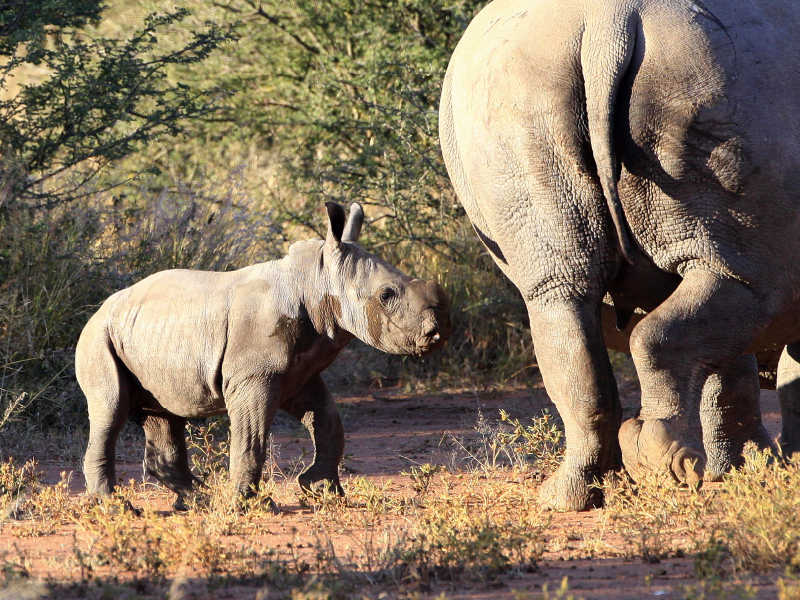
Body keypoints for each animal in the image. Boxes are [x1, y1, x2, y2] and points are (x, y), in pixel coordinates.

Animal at [76, 203, 450, 510]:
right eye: (386, 295)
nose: (435, 335)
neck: (315, 279)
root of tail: (97, 311)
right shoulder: (255, 378)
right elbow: (251, 438)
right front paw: (246, 506)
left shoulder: (301, 373)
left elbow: (329, 422)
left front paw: (323, 491)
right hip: (98, 339)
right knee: (111, 408)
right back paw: (118, 509)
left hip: (144, 332)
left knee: (162, 414)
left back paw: (198, 502)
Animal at [440, 0, 800, 510]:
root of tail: (608, 23)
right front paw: (763, 469)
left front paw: (746, 469)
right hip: (719, 80)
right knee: (747, 290)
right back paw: (671, 467)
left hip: (511, 100)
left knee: (561, 299)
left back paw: (578, 494)